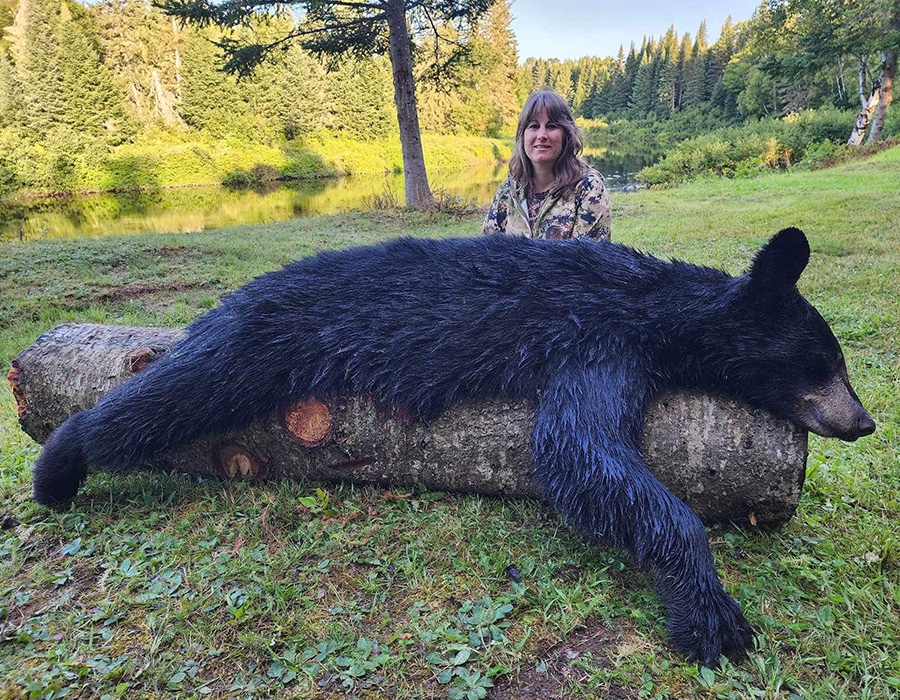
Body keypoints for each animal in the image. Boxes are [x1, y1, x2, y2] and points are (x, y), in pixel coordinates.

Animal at [30, 227, 875, 667]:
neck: (658, 307)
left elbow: (578, 456)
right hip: (255, 345)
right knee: (166, 398)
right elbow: (576, 453)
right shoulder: (595, 341)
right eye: (823, 363)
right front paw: (707, 609)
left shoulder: (601, 347)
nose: (864, 421)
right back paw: (59, 462)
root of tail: (241, 292)